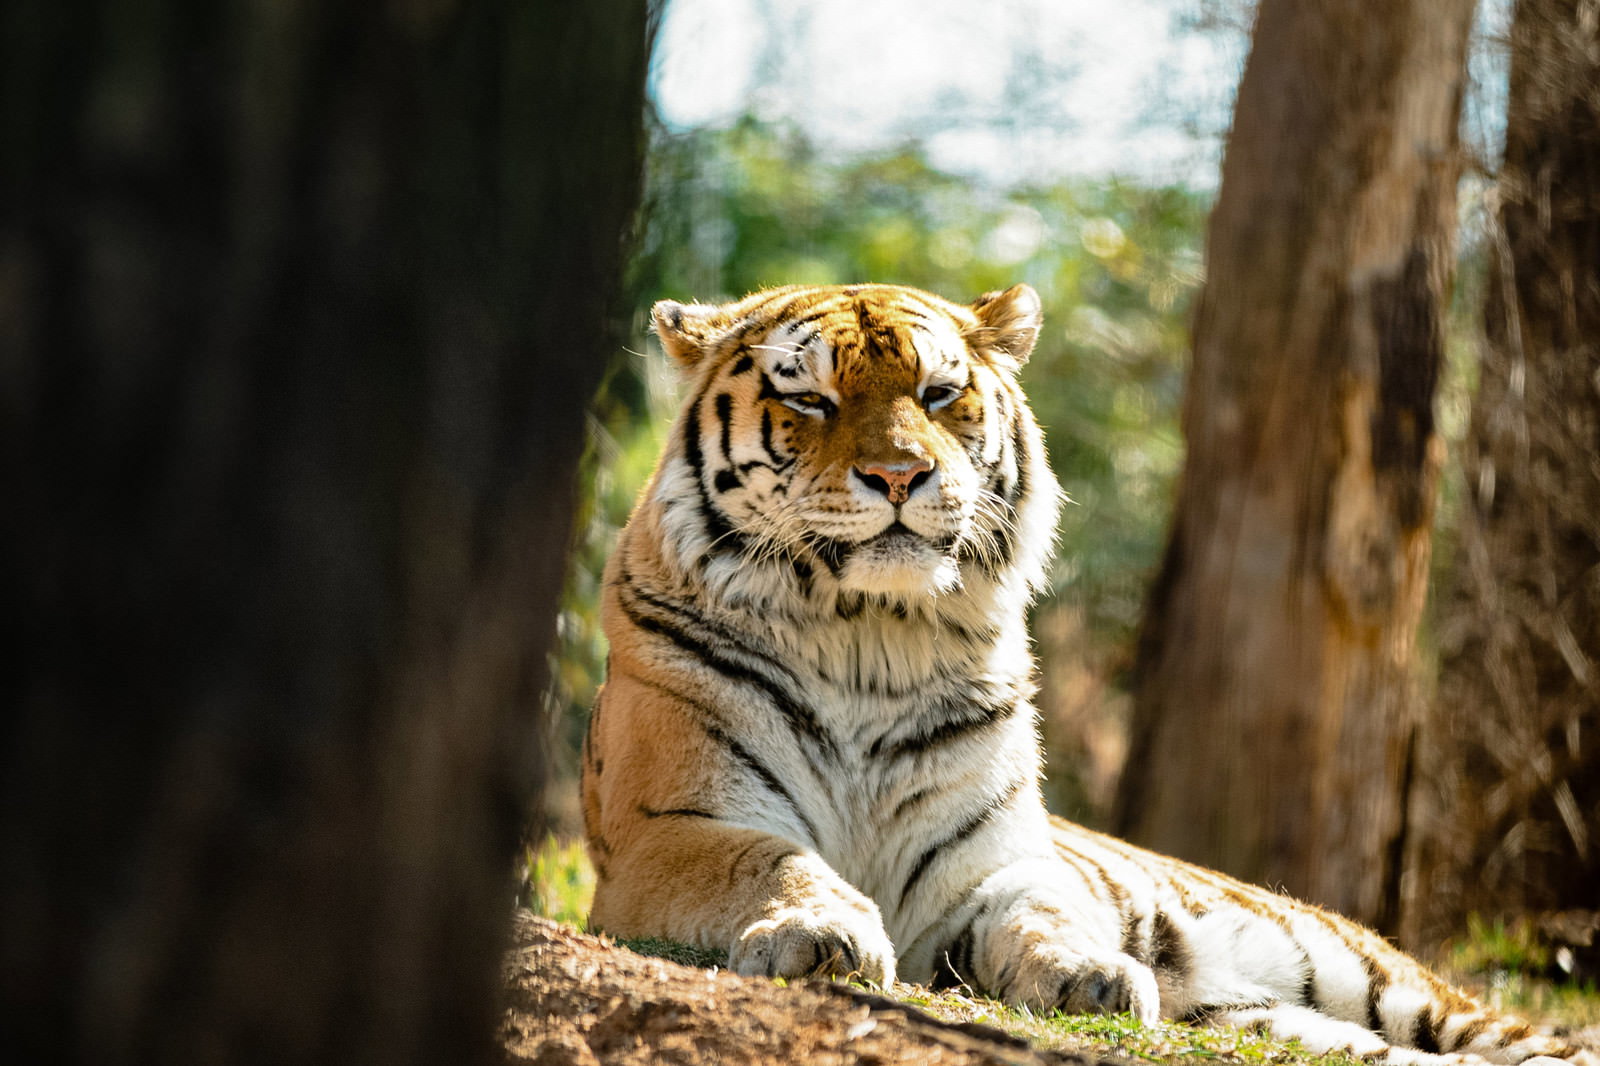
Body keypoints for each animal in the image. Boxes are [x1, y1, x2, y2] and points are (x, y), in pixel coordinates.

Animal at [580, 282, 1590, 1066]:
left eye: (939, 394)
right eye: (815, 400)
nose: (900, 476)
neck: (871, 638)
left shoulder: (993, 863)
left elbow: (1044, 910)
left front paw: (1093, 974)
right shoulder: (669, 826)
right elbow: (771, 860)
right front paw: (819, 931)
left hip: (1384, 980)